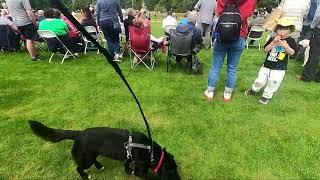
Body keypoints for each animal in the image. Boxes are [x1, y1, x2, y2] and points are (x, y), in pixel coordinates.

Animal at [29, 120, 180, 179]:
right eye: (173, 171)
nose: (180, 179)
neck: (150, 151)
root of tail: (78, 134)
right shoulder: (140, 167)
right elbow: (146, 175)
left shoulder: (127, 158)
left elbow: (126, 165)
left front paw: (127, 171)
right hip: (85, 158)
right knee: (79, 168)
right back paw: (86, 176)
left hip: (91, 155)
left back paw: (100, 166)